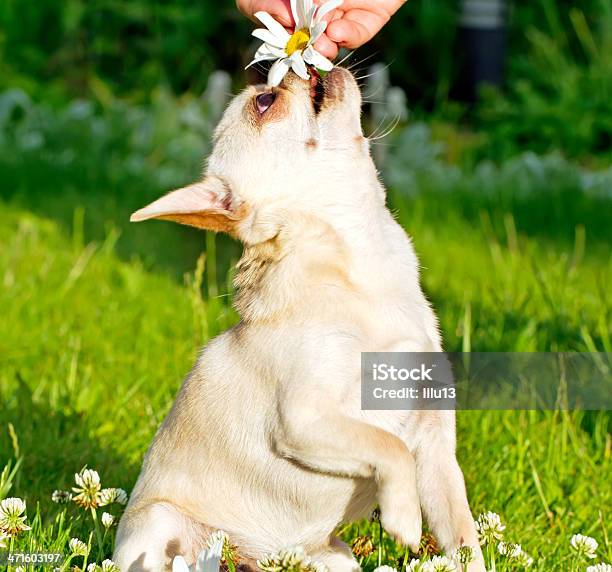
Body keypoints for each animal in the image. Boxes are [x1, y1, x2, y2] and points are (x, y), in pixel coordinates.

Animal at [115, 68, 486, 572]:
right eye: (265, 102)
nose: (298, 68)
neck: (364, 264)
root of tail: (255, 556)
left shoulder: (435, 449)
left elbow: (463, 538)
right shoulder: (305, 418)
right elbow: (388, 447)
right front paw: (405, 516)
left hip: (335, 559)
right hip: (159, 525)